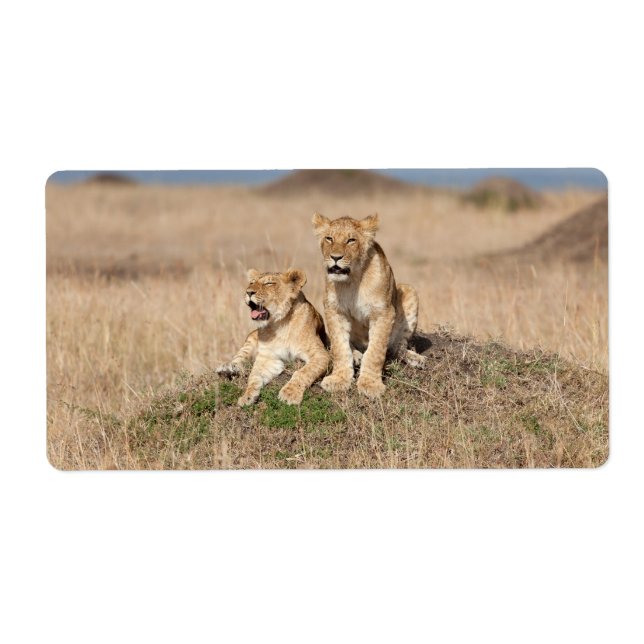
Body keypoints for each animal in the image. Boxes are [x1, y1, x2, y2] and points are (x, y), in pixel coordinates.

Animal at [216, 268, 329, 406]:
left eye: (268, 283)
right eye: (251, 283)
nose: (248, 292)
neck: (279, 324)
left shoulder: (321, 354)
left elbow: (303, 372)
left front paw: (289, 394)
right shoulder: (268, 358)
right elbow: (254, 377)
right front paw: (247, 396)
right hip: (250, 338)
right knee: (238, 359)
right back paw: (227, 369)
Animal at [311, 212, 427, 399]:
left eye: (351, 240)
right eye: (329, 238)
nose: (335, 257)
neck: (352, 280)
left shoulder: (383, 313)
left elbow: (375, 352)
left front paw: (370, 384)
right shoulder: (334, 311)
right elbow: (340, 347)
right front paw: (339, 380)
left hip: (409, 291)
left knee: (397, 347)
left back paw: (416, 359)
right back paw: (356, 355)